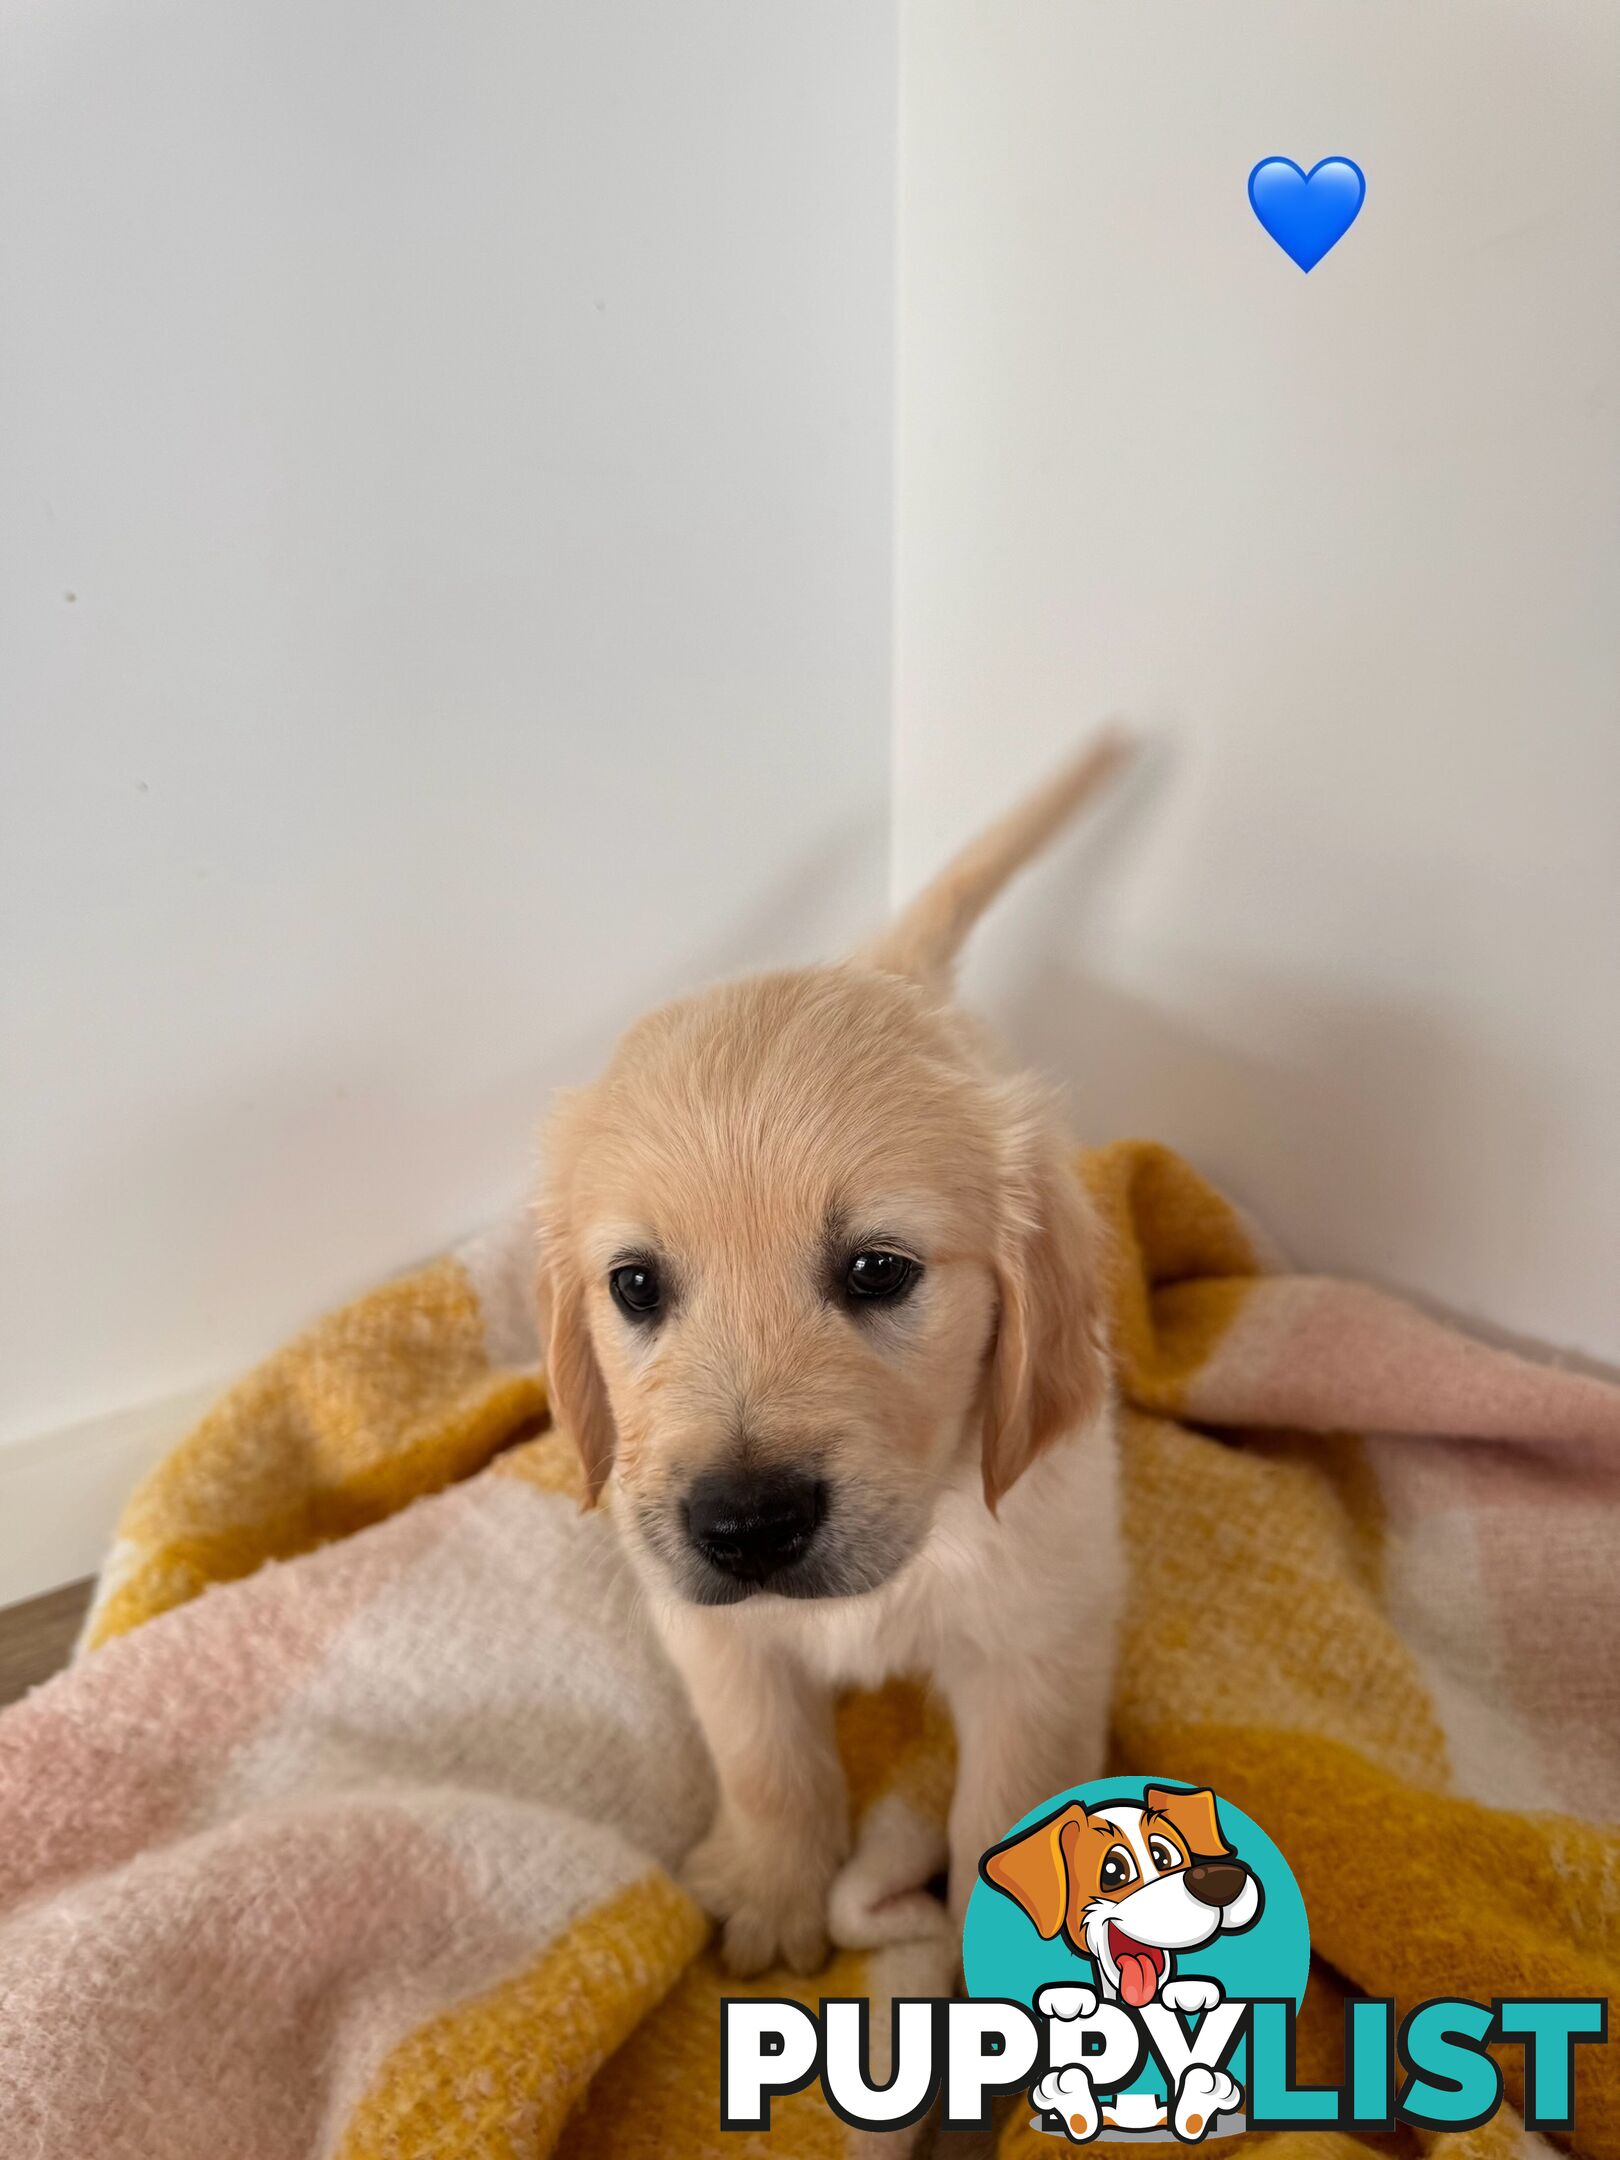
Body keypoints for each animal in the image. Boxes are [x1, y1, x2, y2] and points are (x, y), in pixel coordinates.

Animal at [542, 730, 1131, 1978]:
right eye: (634, 1285)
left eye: (878, 1271)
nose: (747, 1525)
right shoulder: (714, 1629)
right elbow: (766, 1759)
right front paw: (774, 1891)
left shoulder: (1040, 1641)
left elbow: (1005, 1804)